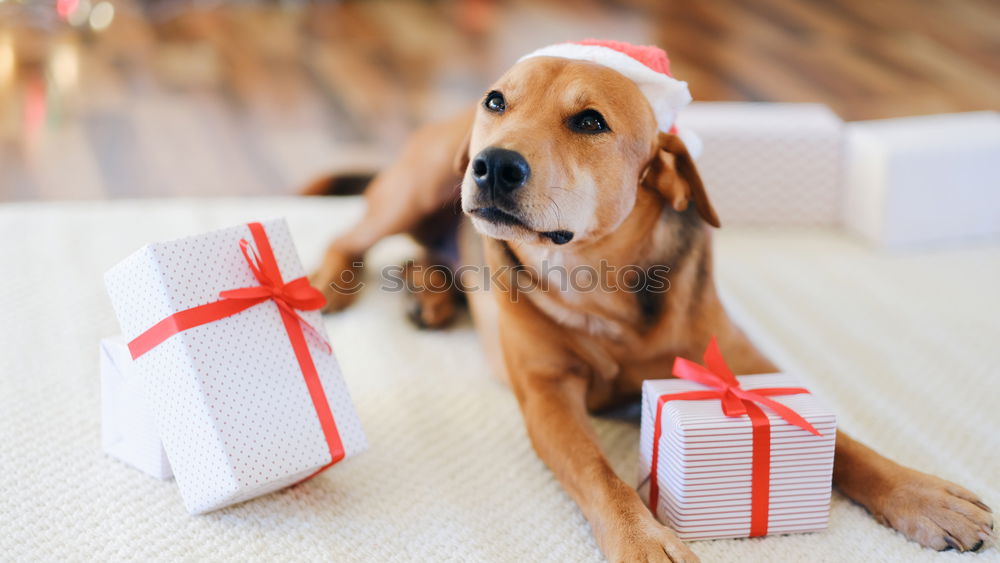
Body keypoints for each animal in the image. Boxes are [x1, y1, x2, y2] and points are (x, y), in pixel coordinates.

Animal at [306, 54, 992, 563]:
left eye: (589, 122)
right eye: (498, 102)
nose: (493, 163)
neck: (597, 281)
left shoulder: (748, 365)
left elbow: (850, 443)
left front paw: (924, 496)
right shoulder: (548, 397)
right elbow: (598, 472)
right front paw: (642, 539)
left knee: (428, 253)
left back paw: (429, 292)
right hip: (419, 184)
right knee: (352, 234)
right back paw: (328, 284)